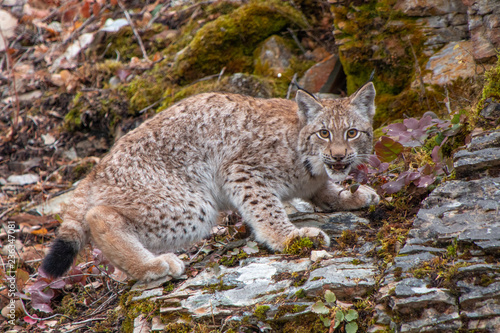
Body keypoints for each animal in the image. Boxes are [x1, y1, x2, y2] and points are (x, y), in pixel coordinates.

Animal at [42, 81, 378, 278]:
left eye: (352, 133)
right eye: (324, 133)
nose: (338, 156)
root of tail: (97, 168)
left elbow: (326, 191)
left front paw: (353, 195)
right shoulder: (240, 170)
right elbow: (266, 209)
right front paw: (291, 238)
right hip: (195, 205)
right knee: (99, 215)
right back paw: (153, 265)